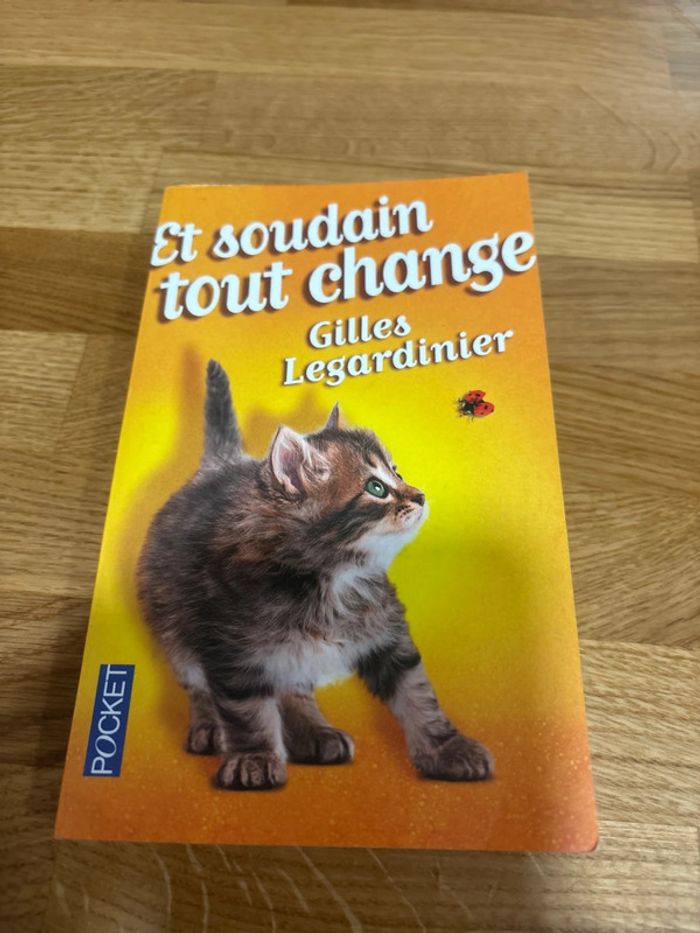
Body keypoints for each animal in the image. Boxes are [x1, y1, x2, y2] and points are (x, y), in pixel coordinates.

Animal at [137, 360, 493, 790]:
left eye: (397, 472)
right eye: (376, 488)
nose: (420, 496)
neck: (335, 576)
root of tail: (218, 466)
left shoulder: (388, 634)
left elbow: (418, 695)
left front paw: (446, 750)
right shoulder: (231, 648)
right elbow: (246, 708)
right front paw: (253, 757)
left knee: (293, 687)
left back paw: (314, 732)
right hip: (175, 629)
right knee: (199, 686)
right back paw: (211, 729)